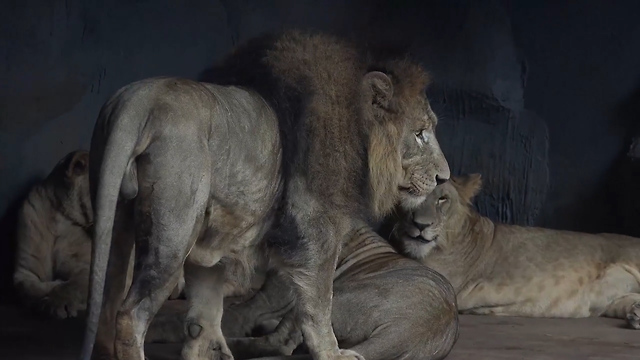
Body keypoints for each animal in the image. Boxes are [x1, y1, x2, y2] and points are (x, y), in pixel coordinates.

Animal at [81, 29, 450, 360]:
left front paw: (208, 349)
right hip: (173, 232)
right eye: (419, 134)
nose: (443, 177)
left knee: (108, 306)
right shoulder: (316, 231)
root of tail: (139, 99)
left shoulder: (212, 245)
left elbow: (203, 316)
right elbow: (319, 306)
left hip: (117, 221)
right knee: (131, 314)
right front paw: (332, 353)